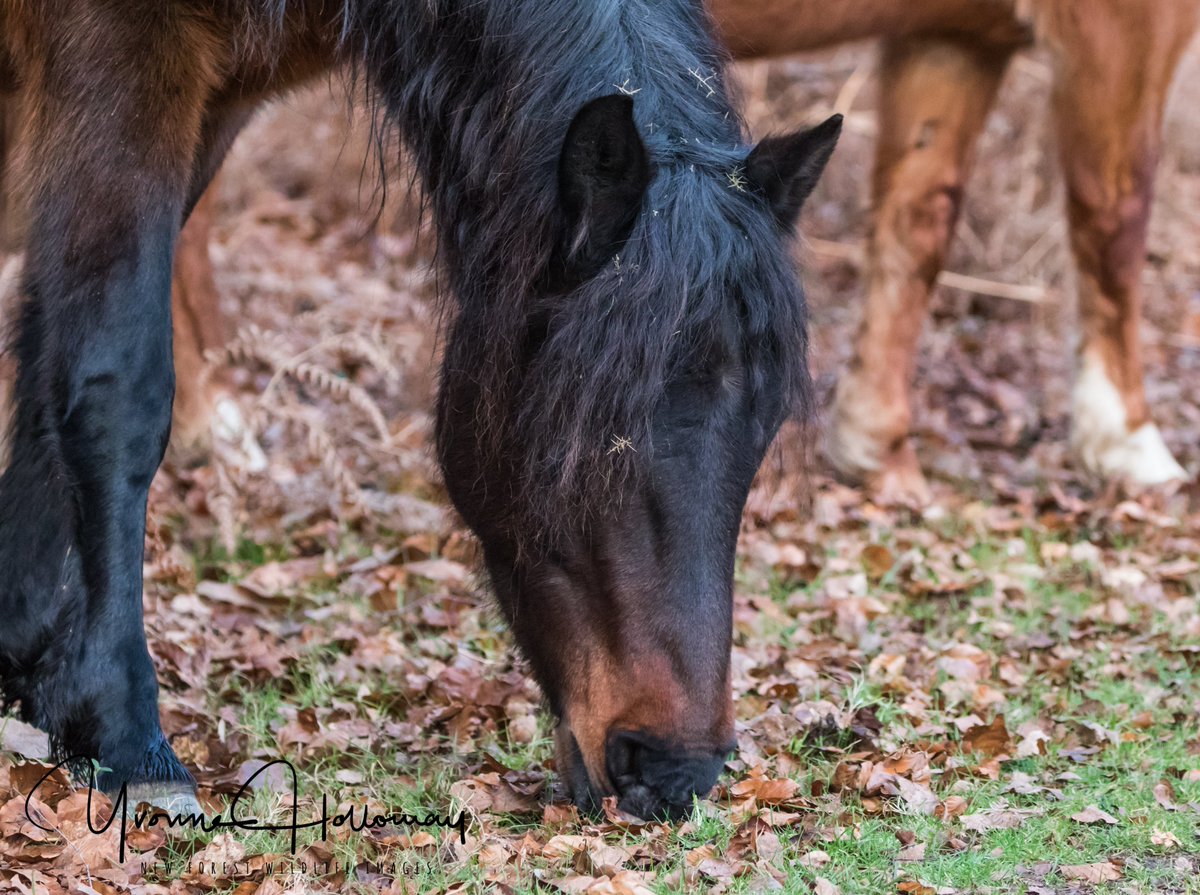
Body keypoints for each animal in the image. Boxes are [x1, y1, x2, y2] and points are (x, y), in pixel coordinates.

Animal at [0, 1, 840, 819]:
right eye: (585, 427)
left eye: (763, 427)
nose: (673, 769)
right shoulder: (123, 59)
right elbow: (117, 384)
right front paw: (124, 733)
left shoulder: (217, 102)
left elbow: (46, 349)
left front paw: (30, 658)